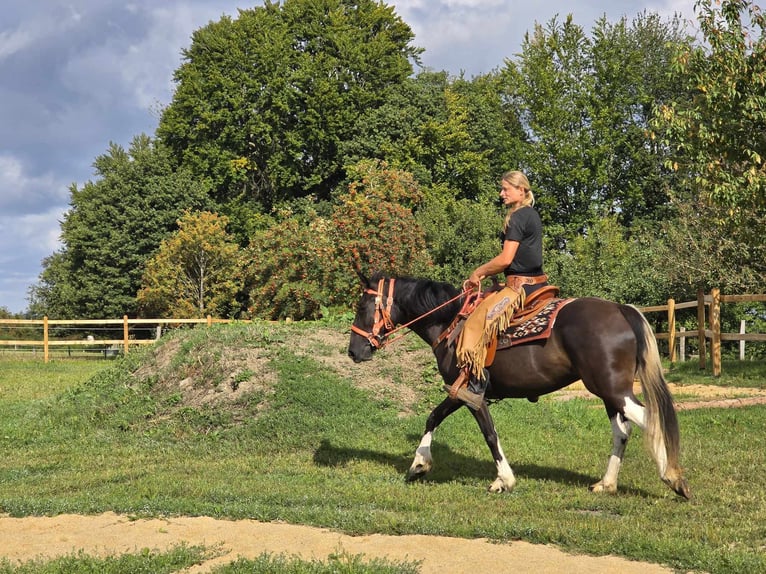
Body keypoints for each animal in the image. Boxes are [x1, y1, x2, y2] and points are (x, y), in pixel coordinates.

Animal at [352, 274, 692, 500]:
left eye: (363, 306)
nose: (354, 351)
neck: (451, 323)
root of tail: (622, 309)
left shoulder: (471, 393)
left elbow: (489, 434)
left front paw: (504, 480)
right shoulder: (459, 392)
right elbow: (433, 417)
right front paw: (419, 464)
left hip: (612, 390)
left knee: (649, 420)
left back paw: (673, 477)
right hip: (611, 392)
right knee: (623, 431)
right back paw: (607, 483)